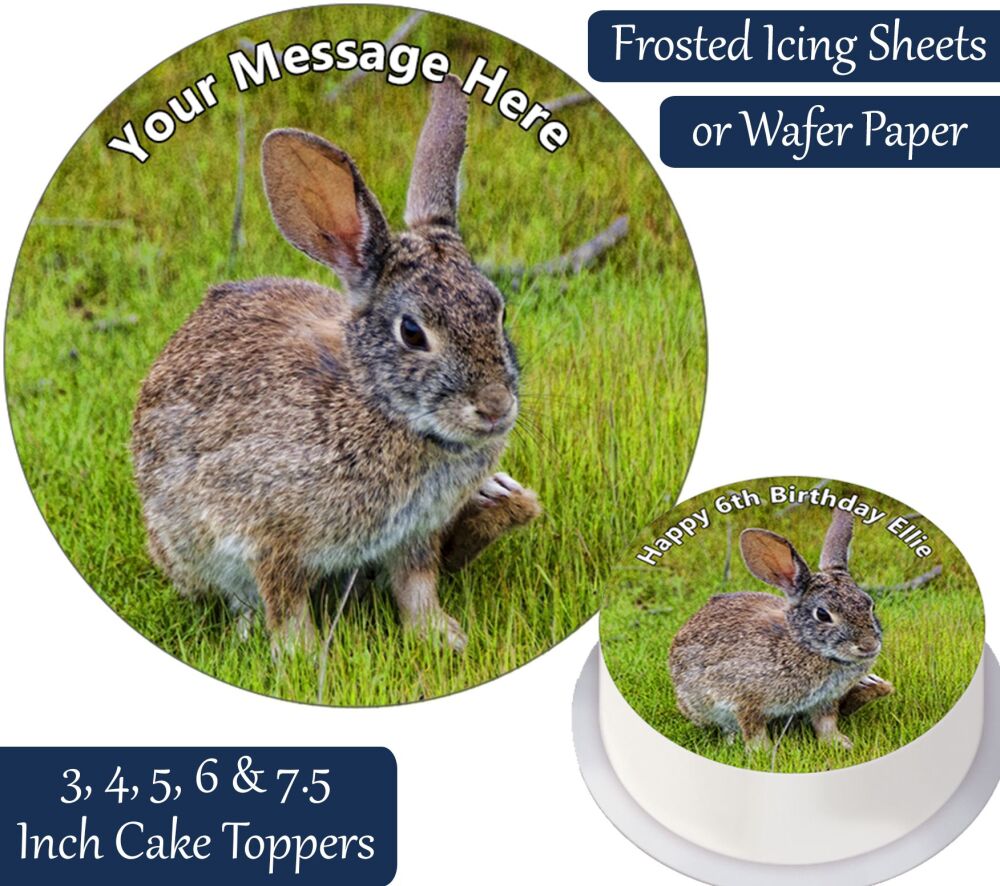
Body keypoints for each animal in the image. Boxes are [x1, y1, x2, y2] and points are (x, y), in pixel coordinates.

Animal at [131, 75, 541, 653]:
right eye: (412, 333)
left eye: (499, 310)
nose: (495, 406)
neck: (380, 407)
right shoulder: (265, 530)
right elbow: (284, 600)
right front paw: (300, 655)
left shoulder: (414, 535)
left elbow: (417, 585)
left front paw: (442, 637)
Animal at [669, 508, 894, 750]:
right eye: (823, 615)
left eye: (870, 604)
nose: (869, 646)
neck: (804, 645)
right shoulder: (743, 698)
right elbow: (753, 728)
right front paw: (763, 752)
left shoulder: (824, 700)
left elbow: (826, 722)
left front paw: (839, 743)